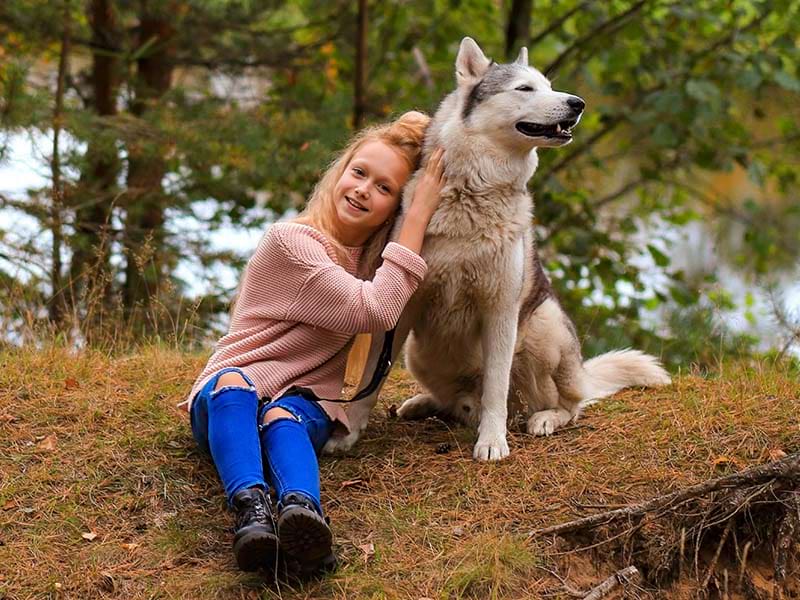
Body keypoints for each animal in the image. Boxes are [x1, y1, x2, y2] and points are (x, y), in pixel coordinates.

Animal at [324, 36, 668, 460]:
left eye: (548, 85)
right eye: (525, 88)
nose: (578, 103)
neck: (472, 191)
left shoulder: (500, 309)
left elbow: (496, 389)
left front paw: (492, 442)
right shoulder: (399, 310)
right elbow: (371, 379)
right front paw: (348, 435)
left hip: (544, 329)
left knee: (569, 405)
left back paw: (543, 419)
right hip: (418, 353)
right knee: (452, 401)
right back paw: (424, 404)